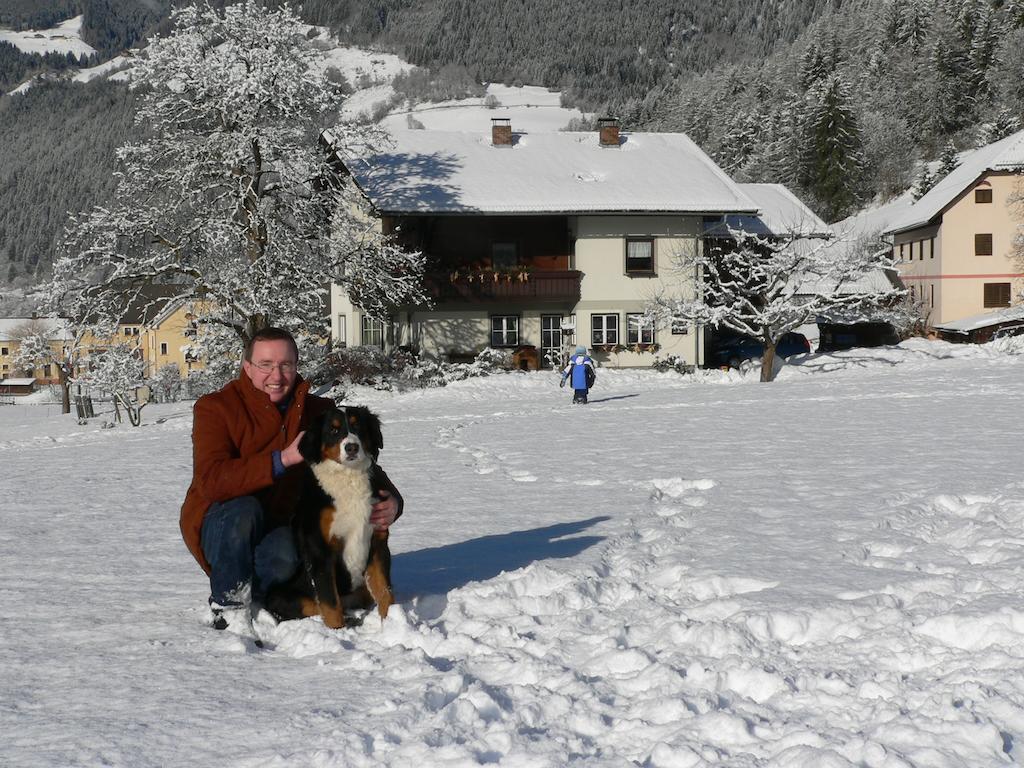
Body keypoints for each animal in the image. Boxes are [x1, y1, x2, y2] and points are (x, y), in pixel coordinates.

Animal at [266, 405, 393, 626]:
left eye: (357, 426)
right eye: (333, 430)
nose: (351, 447)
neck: (349, 478)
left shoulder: (378, 541)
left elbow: (385, 591)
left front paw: (394, 623)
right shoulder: (320, 549)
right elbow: (330, 603)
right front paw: (338, 632)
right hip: (281, 595)